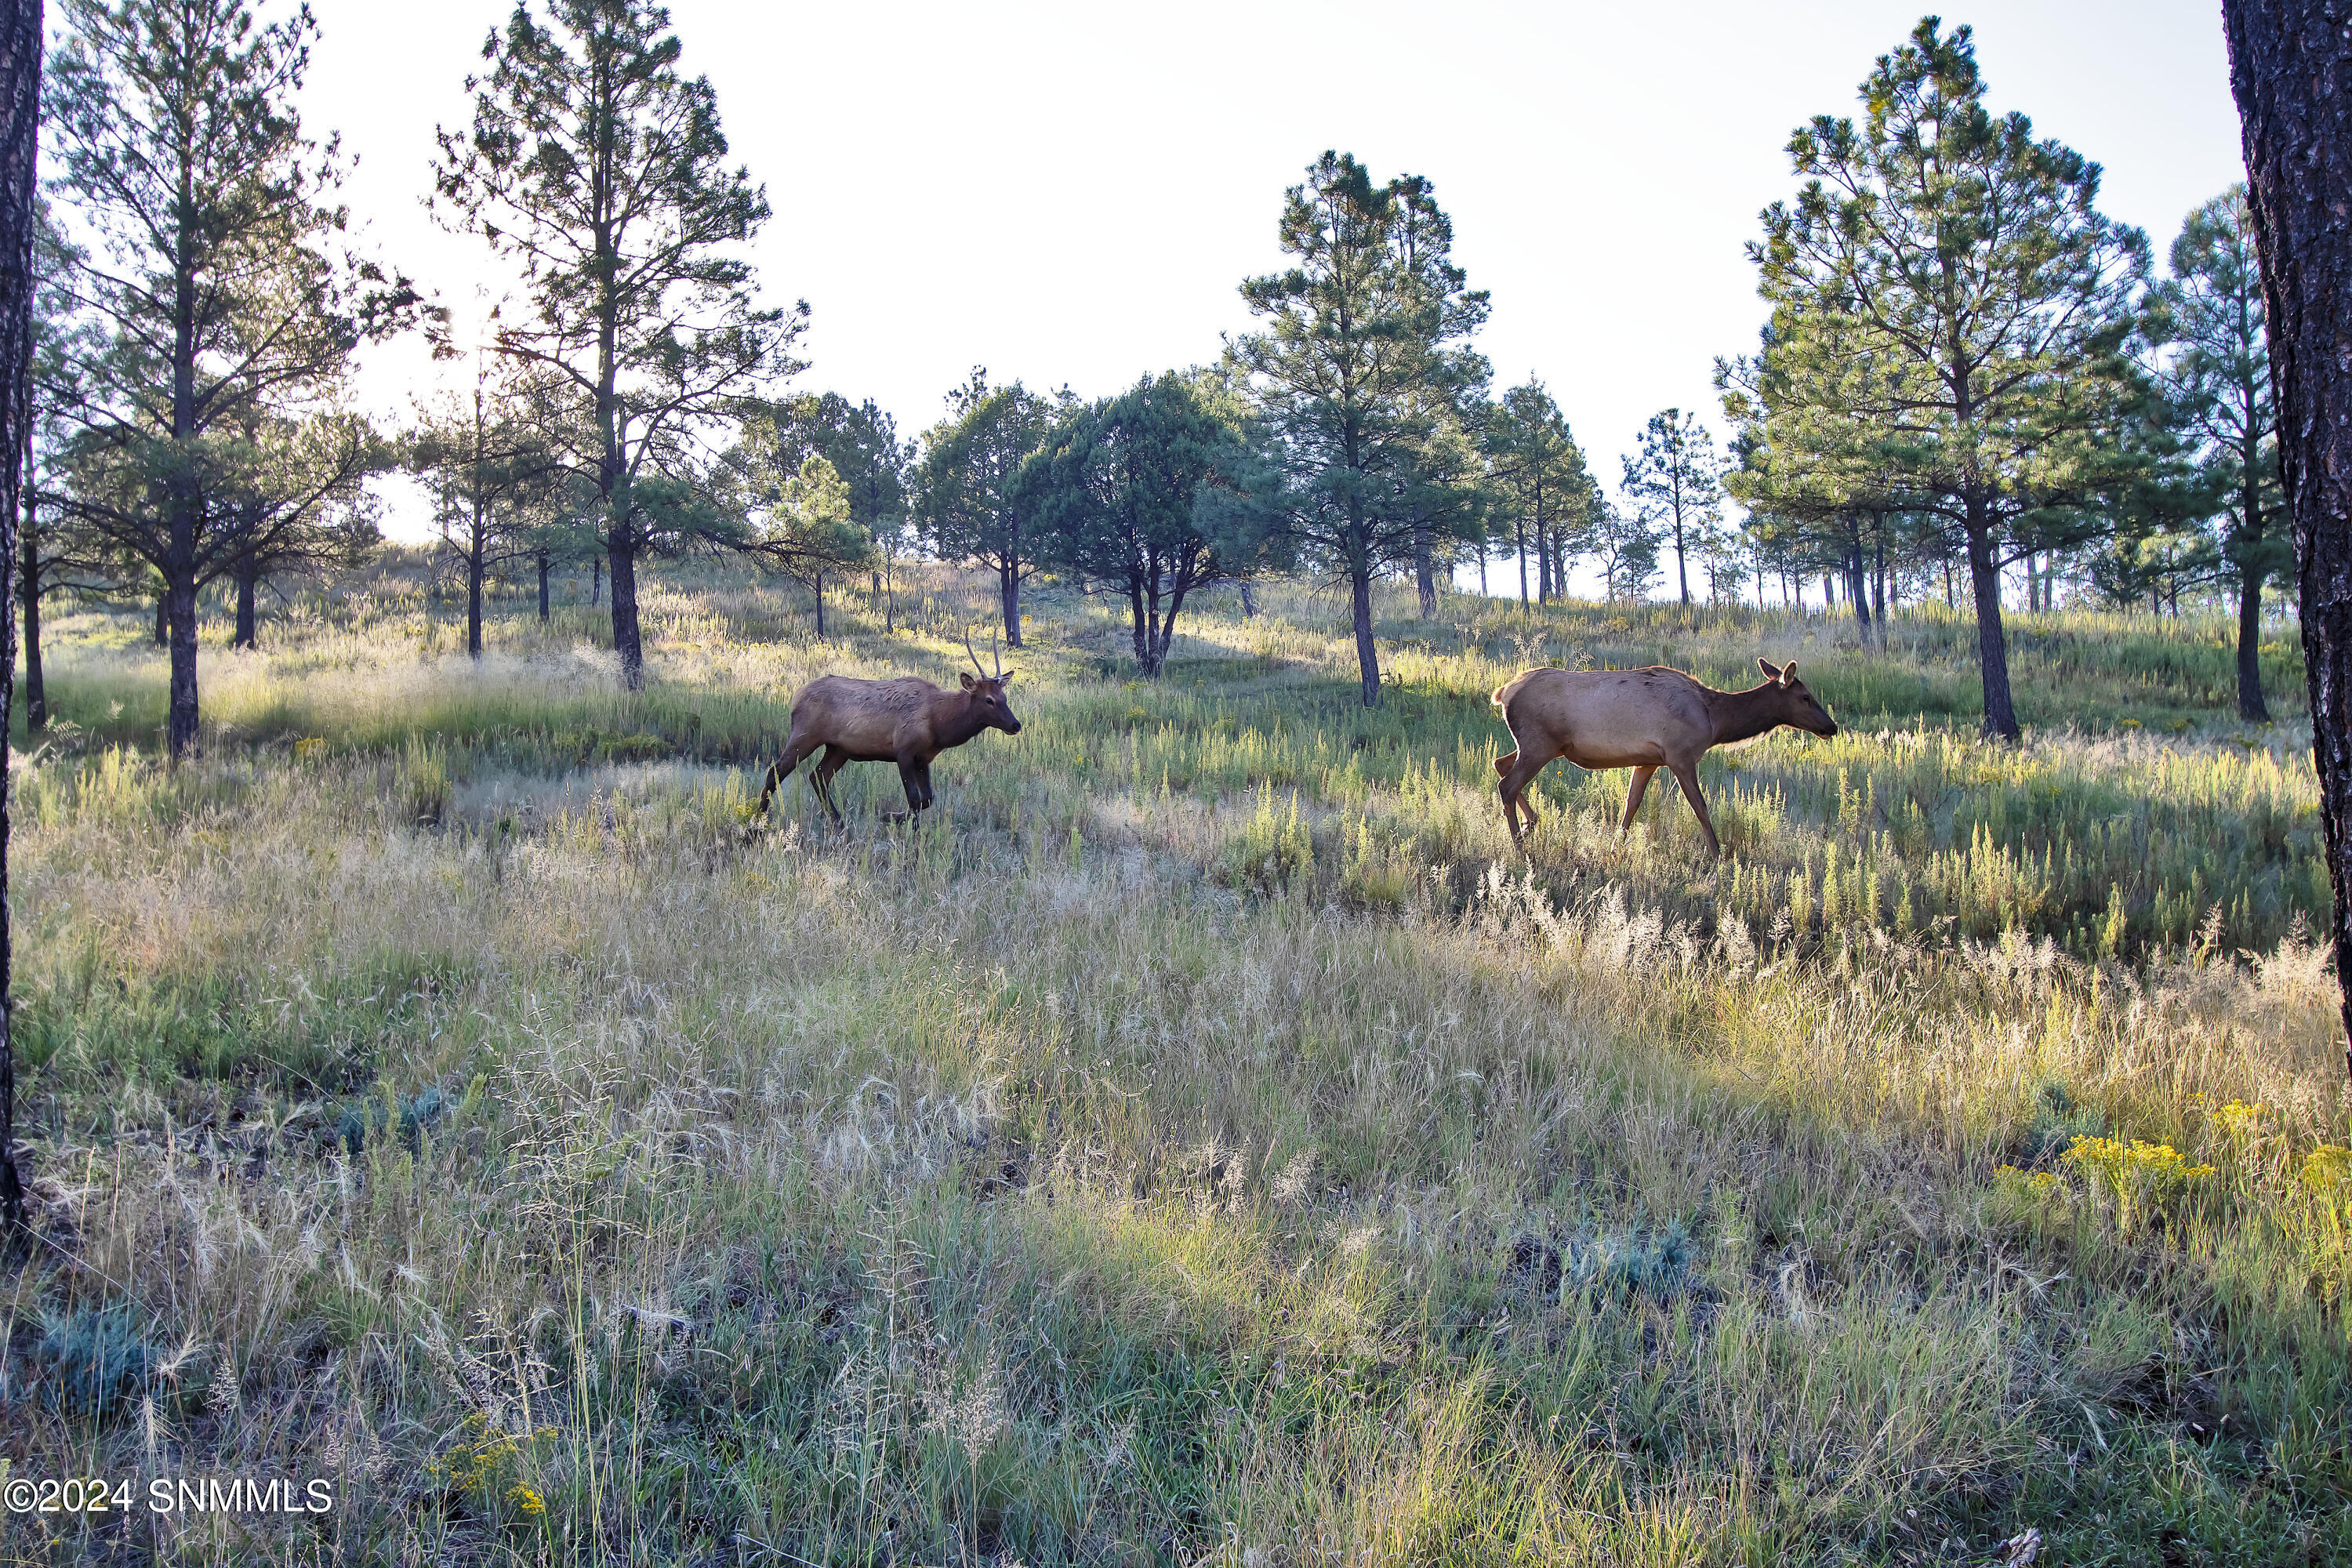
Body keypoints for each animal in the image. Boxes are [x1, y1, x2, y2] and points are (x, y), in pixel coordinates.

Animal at [757, 630, 1025, 827]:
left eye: (1004, 697)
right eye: (989, 700)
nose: (1015, 725)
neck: (939, 726)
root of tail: (795, 697)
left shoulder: (923, 758)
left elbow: (927, 799)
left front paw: (893, 818)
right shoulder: (903, 751)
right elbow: (915, 800)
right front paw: (894, 821)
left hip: (838, 748)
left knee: (818, 776)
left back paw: (838, 821)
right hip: (805, 735)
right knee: (775, 771)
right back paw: (758, 821)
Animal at [1486, 658, 1835, 865]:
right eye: (1806, 697)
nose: (1830, 727)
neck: (1715, 721)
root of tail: (1503, 692)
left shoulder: (1648, 761)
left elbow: (1631, 804)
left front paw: (1615, 848)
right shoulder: (1681, 755)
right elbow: (1700, 807)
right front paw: (1717, 856)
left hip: (1542, 746)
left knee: (1500, 764)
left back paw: (1532, 824)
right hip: (1539, 744)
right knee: (1507, 784)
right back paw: (1519, 846)